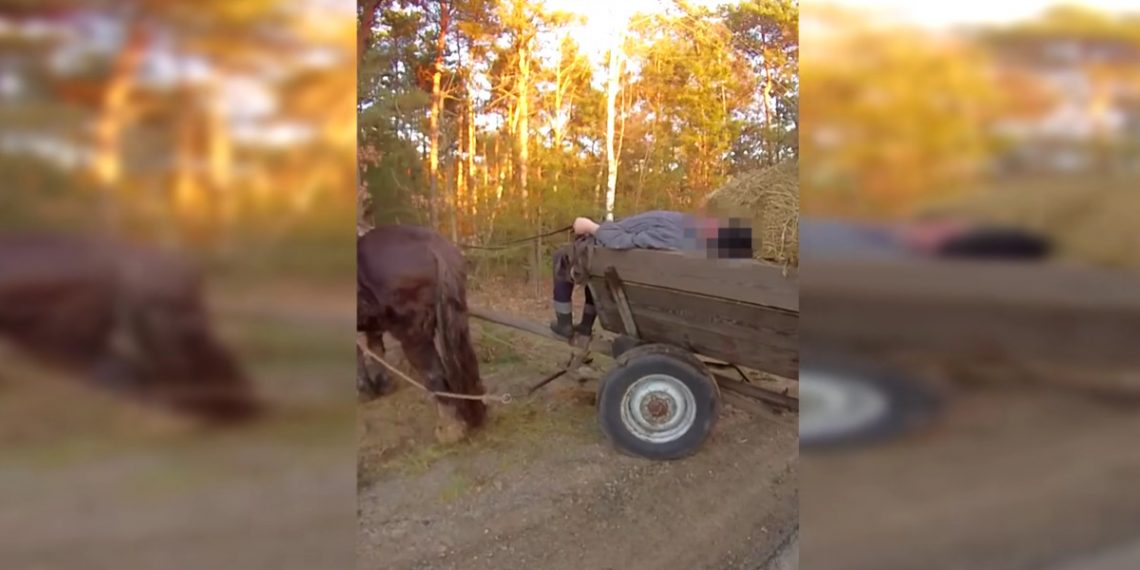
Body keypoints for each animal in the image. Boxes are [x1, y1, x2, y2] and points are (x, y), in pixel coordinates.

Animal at [356, 225, 487, 444]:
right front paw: (381, 385)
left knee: (434, 374)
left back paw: (450, 430)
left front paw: (364, 390)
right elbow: (375, 349)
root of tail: (433, 247)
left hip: (412, 334)